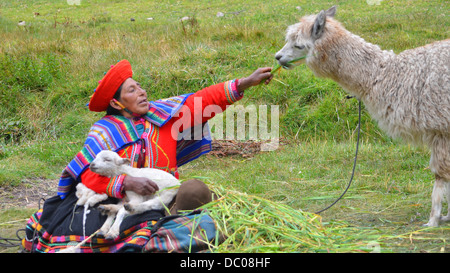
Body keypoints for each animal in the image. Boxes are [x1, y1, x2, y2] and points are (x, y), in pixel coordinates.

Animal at [276, 7, 450, 226]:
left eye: (298, 44)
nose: (278, 57)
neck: (389, 75)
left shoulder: (441, 128)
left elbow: (440, 175)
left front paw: (433, 221)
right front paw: (444, 216)